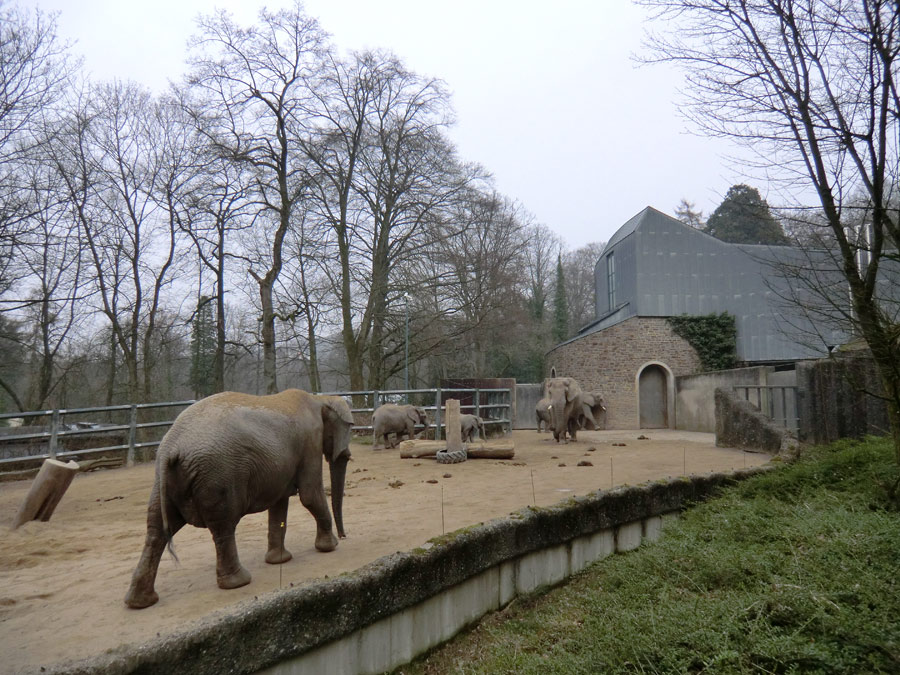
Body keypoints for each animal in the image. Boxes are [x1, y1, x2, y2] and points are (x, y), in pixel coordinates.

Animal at [124, 388, 356, 608]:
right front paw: (330, 547)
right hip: (217, 475)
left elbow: (279, 502)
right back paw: (239, 582)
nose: (345, 536)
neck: (320, 398)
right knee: (223, 526)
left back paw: (140, 602)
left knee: (156, 530)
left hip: (164, 482)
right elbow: (309, 495)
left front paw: (280, 560)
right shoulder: (310, 442)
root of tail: (171, 447)